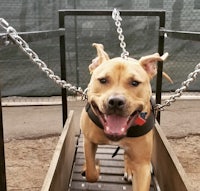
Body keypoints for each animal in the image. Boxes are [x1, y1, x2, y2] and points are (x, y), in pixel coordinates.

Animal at [80, 43, 170, 191]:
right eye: (103, 80)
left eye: (135, 83)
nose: (116, 101)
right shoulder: (88, 140)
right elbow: (91, 172)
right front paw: (93, 167)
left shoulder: (142, 166)